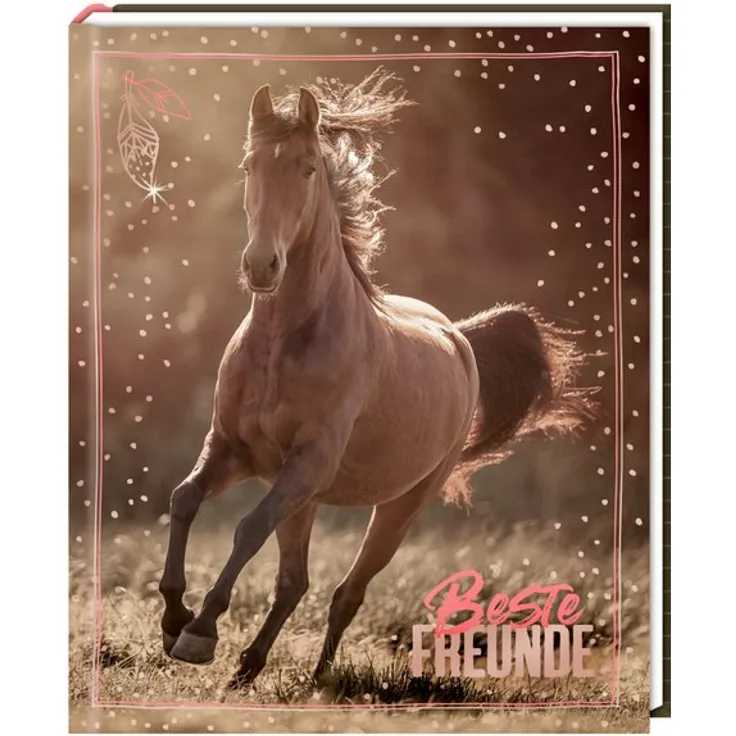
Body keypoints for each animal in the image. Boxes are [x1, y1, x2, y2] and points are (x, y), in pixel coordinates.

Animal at [158, 69, 595, 689]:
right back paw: (248, 669)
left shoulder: (307, 463)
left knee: (347, 591)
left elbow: (247, 527)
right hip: (308, 496)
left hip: (398, 505)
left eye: (308, 168)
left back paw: (317, 680)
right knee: (295, 582)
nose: (262, 266)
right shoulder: (233, 450)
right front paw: (174, 618)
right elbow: (185, 498)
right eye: (248, 166)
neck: (283, 344)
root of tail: (458, 336)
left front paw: (199, 632)